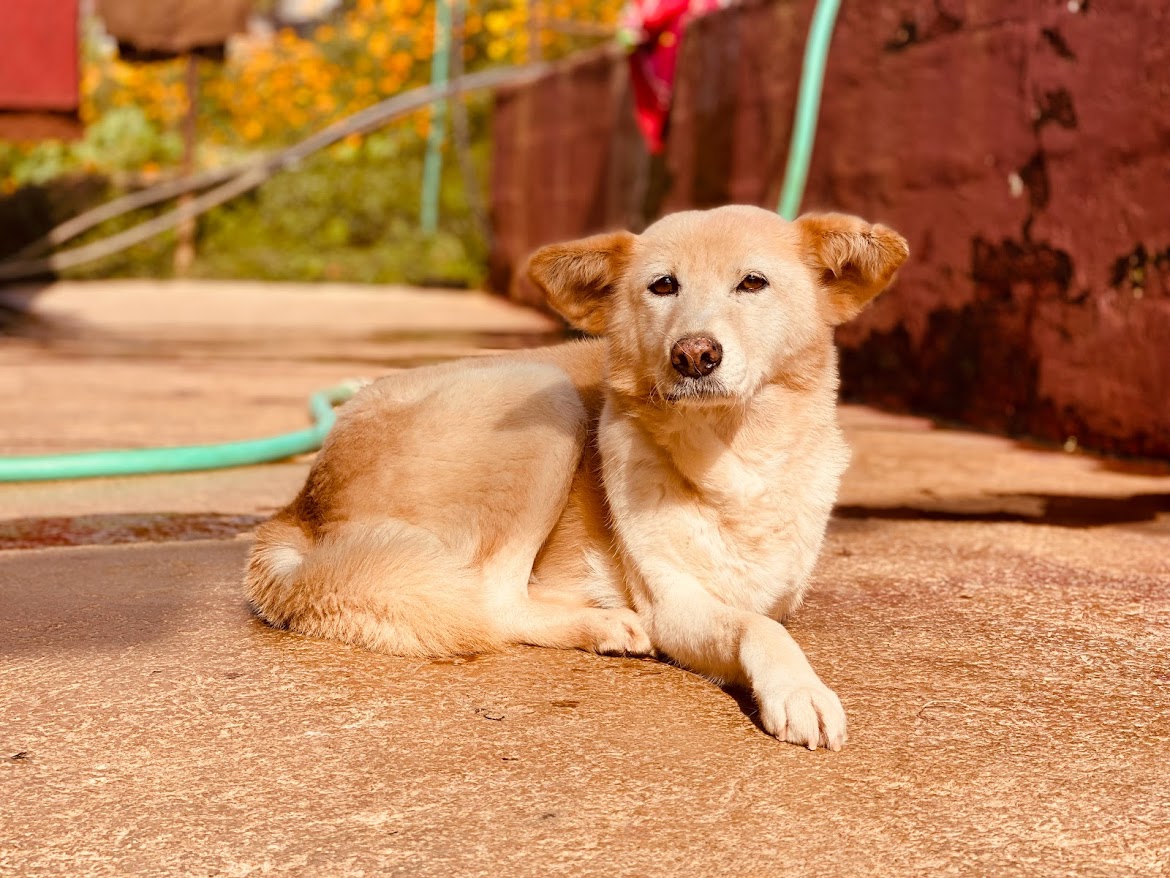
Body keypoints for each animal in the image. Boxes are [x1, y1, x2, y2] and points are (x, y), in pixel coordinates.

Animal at [245, 205, 908, 750]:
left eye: (753, 283)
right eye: (663, 285)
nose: (693, 355)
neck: (734, 460)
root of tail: (300, 505)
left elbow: (766, 614)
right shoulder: (673, 604)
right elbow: (759, 627)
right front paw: (800, 690)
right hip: (544, 396)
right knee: (493, 598)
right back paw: (603, 622)